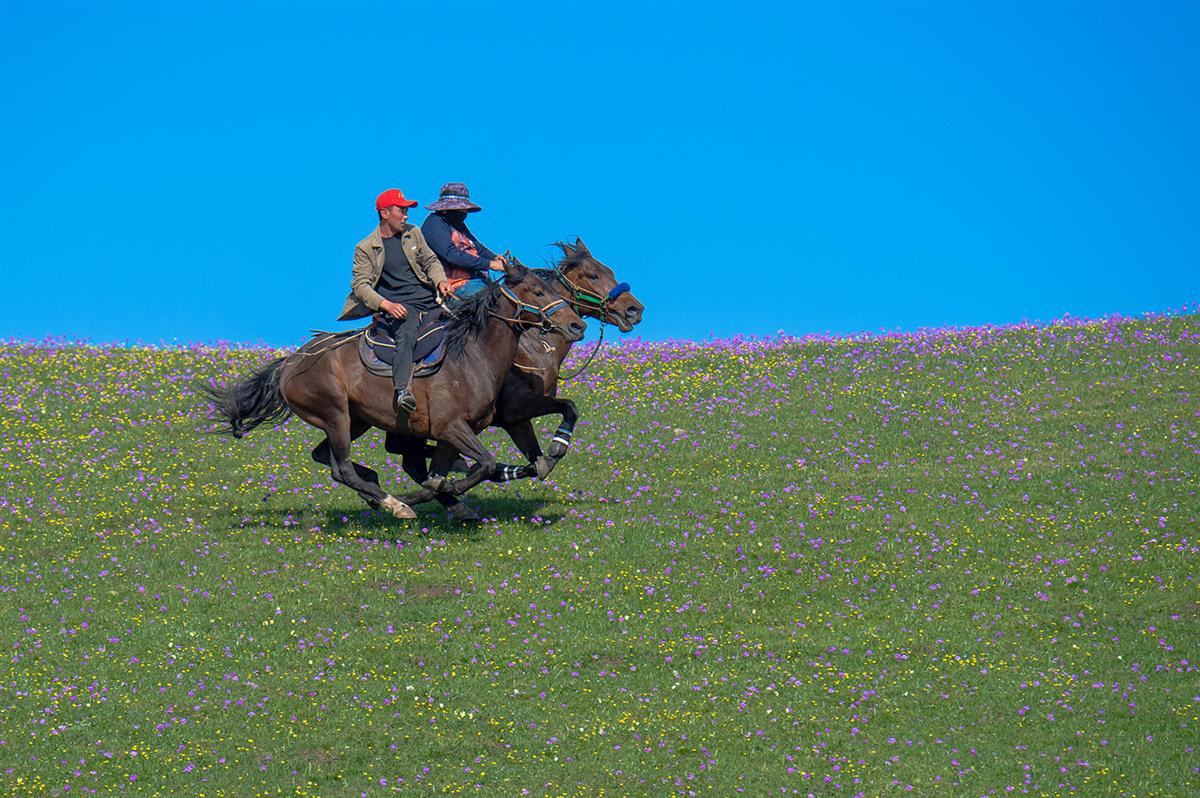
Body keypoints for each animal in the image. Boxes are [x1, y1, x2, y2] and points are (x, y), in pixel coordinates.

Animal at [205, 260, 586, 521]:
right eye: (538, 292)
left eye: (556, 290)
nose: (576, 325)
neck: (471, 356)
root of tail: (289, 364)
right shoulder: (453, 427)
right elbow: (481, 464)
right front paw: (430, 494)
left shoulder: (454, 433)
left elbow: (450, 473)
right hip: (335, 415)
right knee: (341, 468)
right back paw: (392, 502)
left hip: (356, 421)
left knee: (327, 458)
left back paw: (378, 489)